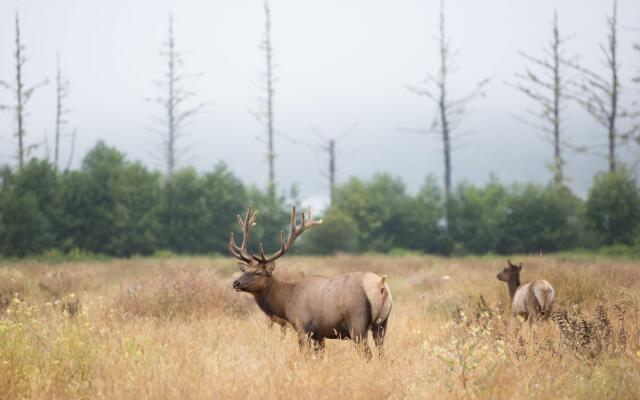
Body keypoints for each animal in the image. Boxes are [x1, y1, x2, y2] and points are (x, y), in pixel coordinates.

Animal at [230, 206, 390, 356]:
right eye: (245, 270)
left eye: (258, 273)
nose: (235, 283)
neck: (286, 303)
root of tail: (380, 284)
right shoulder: (319, 334)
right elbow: (320, 356)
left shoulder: (302, 326)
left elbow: (305, 355)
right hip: (382, 324)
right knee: (382, 353)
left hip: (358, 323)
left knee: (367, 354)